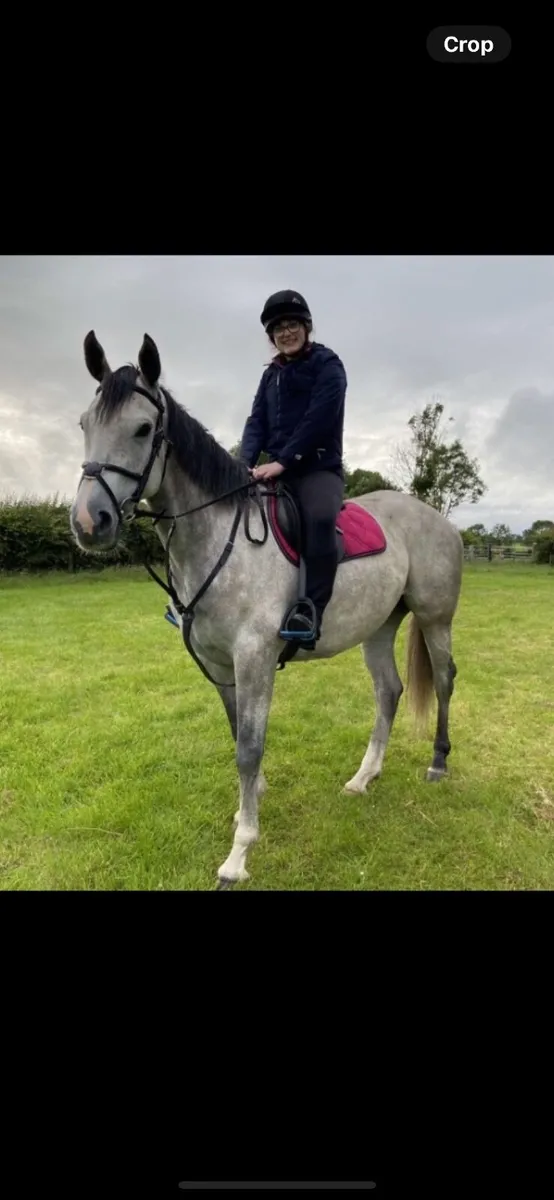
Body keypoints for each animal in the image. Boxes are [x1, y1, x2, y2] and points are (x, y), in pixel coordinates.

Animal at [69, 331, 464, 889]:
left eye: (143, 428)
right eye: (85, 424)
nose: (89, 522)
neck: (219, 536)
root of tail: (438, 520)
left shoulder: (254, 658)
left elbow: (248, 749)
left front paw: (238, 854)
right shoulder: (219, 665)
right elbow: (239, 737)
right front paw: (247, 807)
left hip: (435, 618)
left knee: (445, 680)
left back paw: (437, 763)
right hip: (379, 627)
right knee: (389, 692)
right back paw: (363, 778)